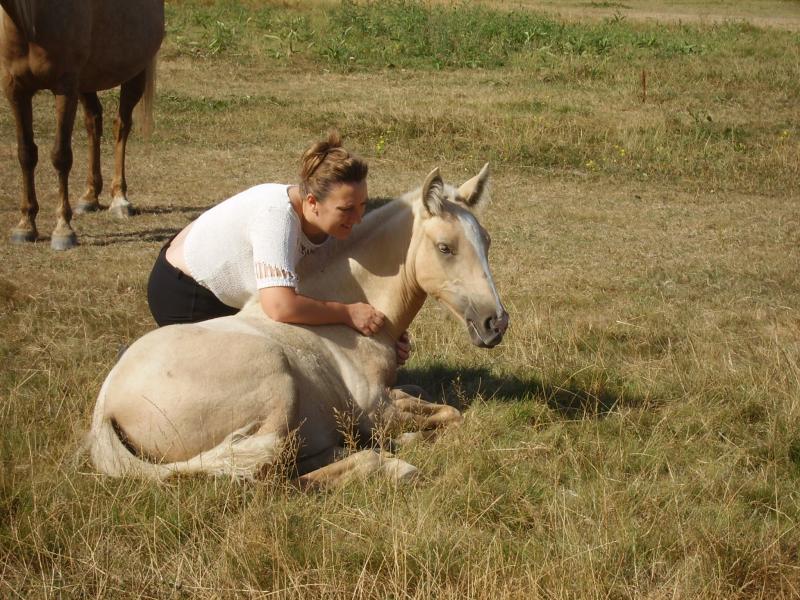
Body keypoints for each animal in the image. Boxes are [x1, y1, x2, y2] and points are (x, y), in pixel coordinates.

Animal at [90, 165, 510, 488]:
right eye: (445, 248)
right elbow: (449, 416)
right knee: (271, 478)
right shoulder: (376, 410)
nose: (496, 323)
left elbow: (433, 401)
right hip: (276, 381)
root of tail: (107, 406)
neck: (348, 322)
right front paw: (404, 442)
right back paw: (389, 464)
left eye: (486, 241)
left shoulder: (393, 393)